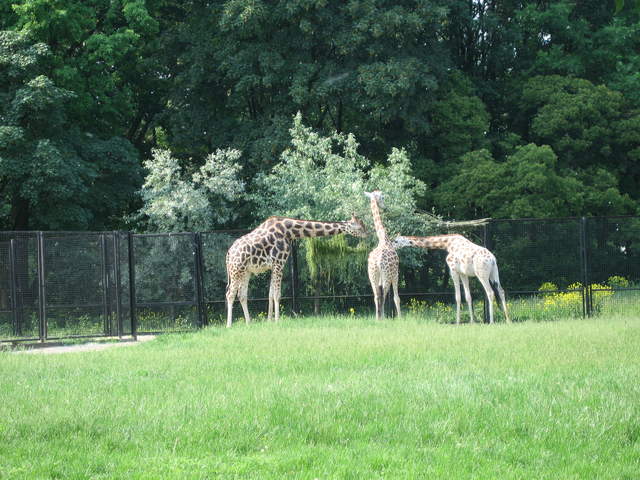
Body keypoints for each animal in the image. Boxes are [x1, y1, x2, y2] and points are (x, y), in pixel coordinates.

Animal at [225, 215, 367, 327]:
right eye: (360, 227)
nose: (368, 234)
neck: (289, 231)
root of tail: (228, 254)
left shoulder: (273, 266)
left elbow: (270, 294)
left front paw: (269, 320)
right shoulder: (279, 263)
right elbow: (277, 294)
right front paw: (277, 320)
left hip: (246, 272)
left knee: (242, 295)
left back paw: (248, 323)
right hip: (236, 270)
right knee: (230, 294)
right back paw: (229, 325)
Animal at [365, 190, 401, 321]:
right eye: (383, 197)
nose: (385, 207)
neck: (383, 237)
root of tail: (377, 261)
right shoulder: (396, 274)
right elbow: (396, 298)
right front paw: (400, 317)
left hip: (372, 275)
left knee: (376, 295)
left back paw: (378, 318)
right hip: (387, 275)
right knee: (383, 294)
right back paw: (382, 317)